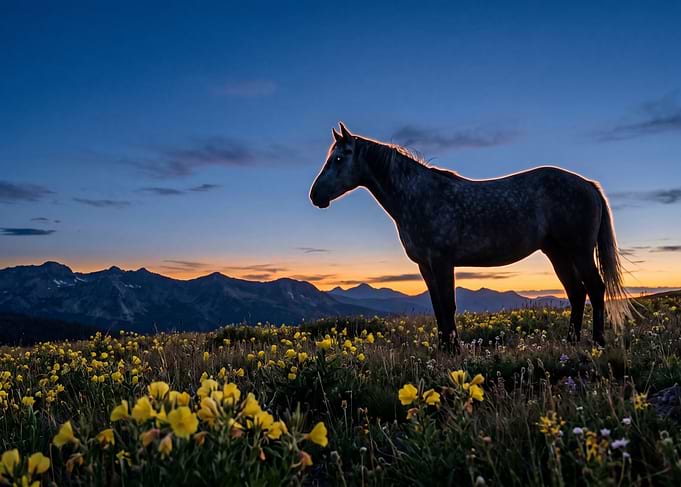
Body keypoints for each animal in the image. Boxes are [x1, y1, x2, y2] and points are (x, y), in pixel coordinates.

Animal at [309, 123, 632, 351]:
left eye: (338, 158)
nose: (315, 196)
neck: (418, 195)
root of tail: (588, 185)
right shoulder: (425, 265)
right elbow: (438, 307)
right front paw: (444, 349)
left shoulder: (442, 261)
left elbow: (448, 305)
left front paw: (455, 350)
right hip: (557, 253)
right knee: (577, 293)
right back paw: (571, 342)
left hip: (579, 251)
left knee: (595, 288)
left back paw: (598, 342)